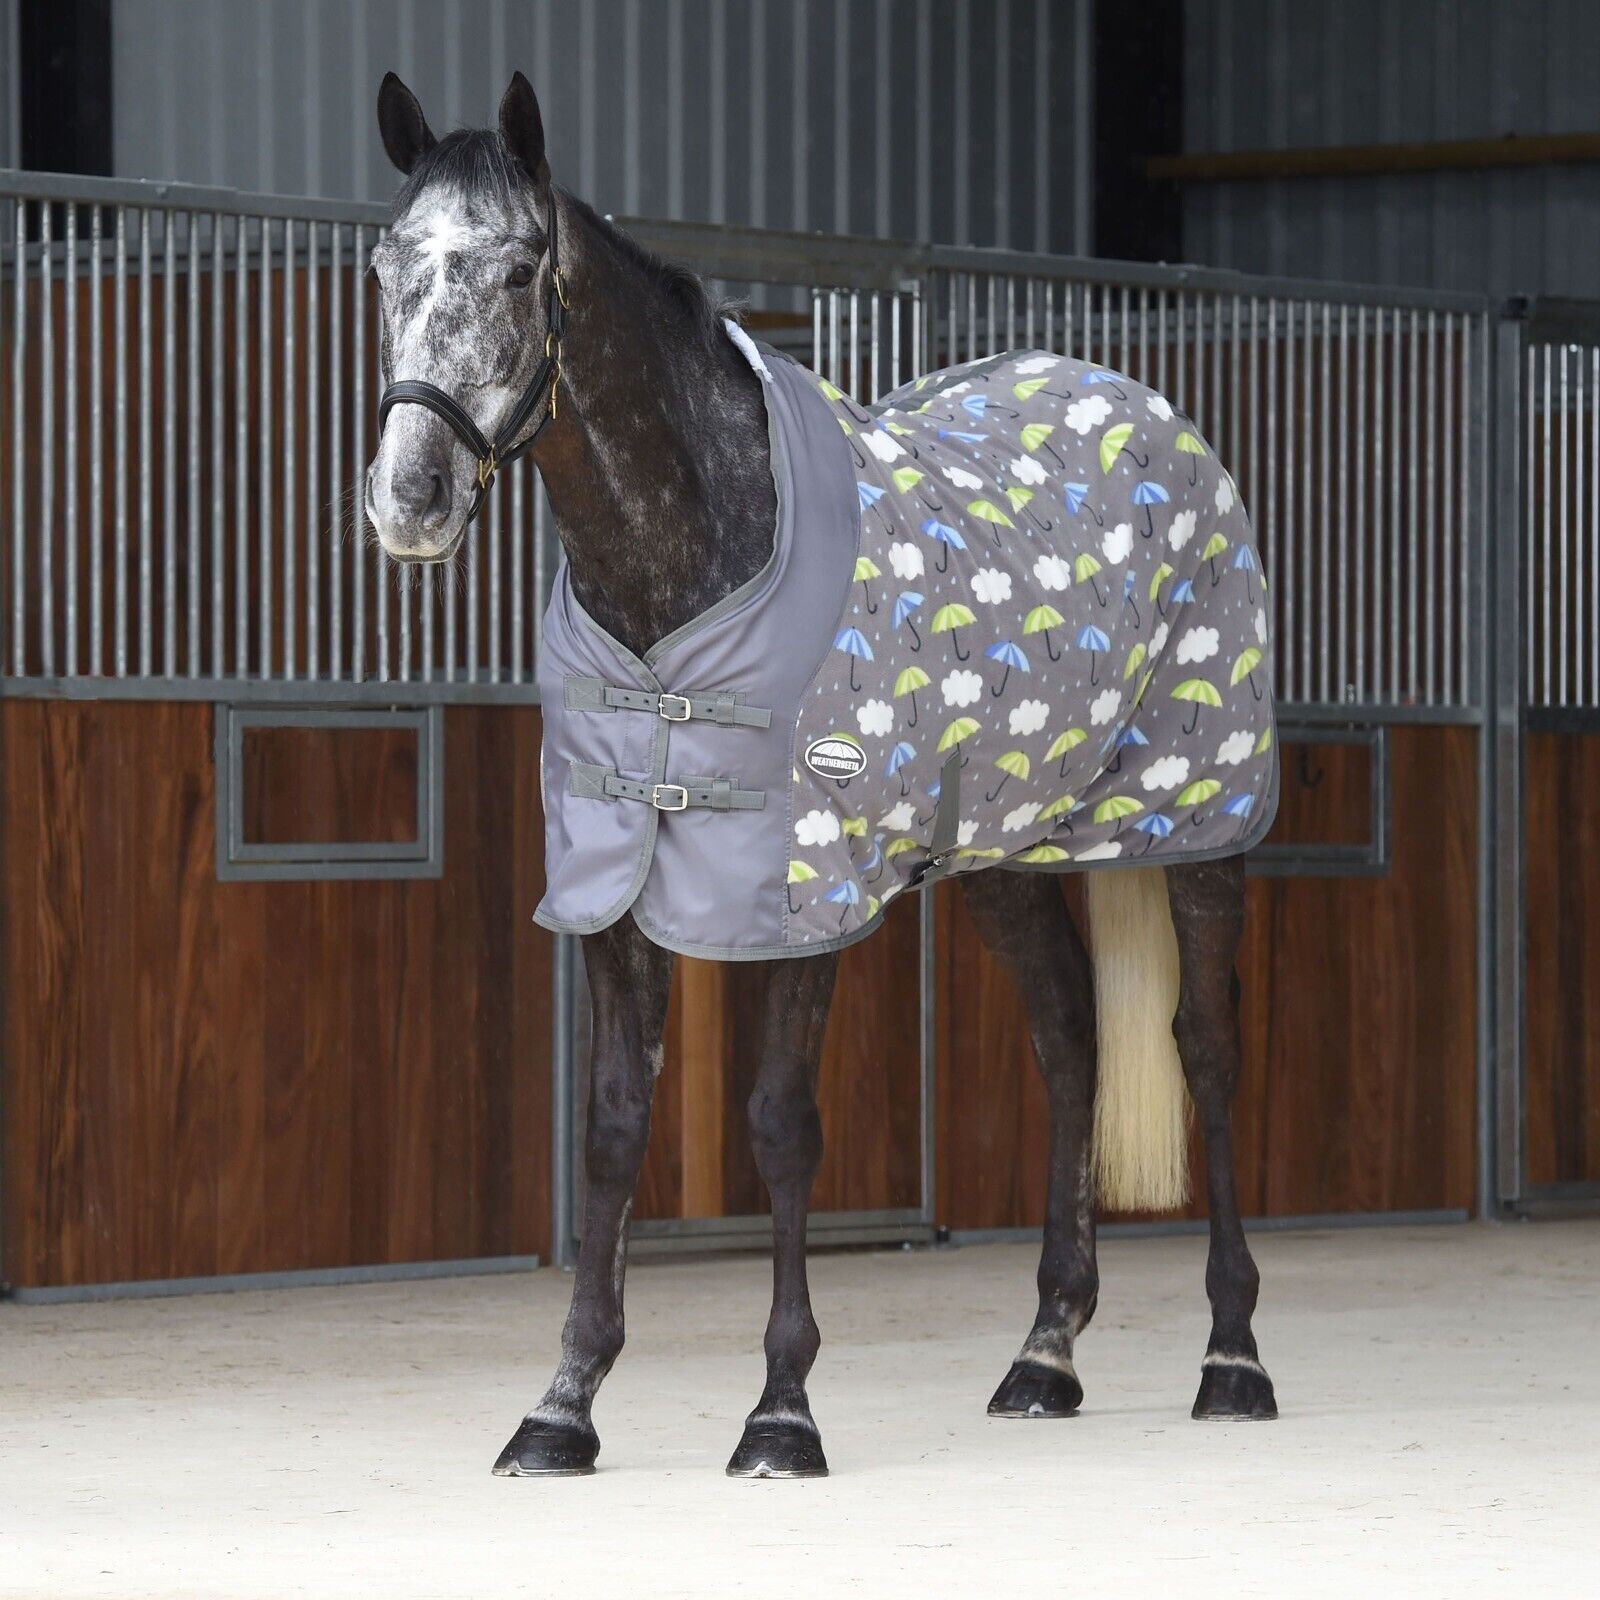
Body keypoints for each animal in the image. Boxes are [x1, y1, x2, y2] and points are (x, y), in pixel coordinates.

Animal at [364, 72, 1278, 1479]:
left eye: (519, 272)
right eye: (384, 269)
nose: (407, 499)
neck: (688, 565)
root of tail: (1149, 411)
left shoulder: (803, 893)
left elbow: (780, 1123)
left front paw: (780, 1412)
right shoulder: (607, 892)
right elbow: (613, 1127)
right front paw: (561, 1406)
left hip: (1199, 823)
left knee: (1207, 1049)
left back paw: (1232, 1358)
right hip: (1006, 849)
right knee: (1069, 1040)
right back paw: (1044, 1355)